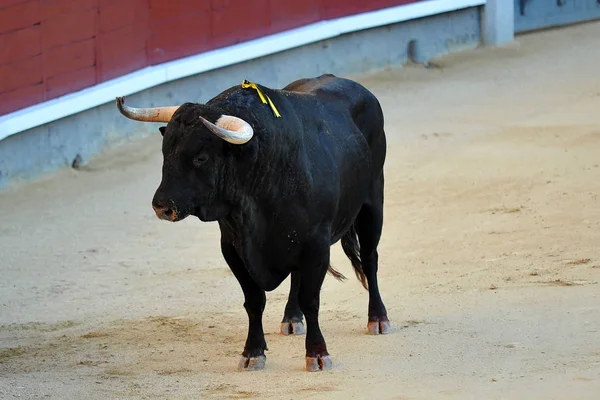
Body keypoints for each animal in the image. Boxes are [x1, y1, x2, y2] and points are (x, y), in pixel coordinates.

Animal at [115, 74, 392, 372]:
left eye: (201, 157)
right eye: (166, 152)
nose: (162, 206)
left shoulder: (316, 245)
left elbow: (311, 300)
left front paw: (317, 354)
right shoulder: (233, 247)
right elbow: (254, 300)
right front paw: (253, 352)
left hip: (373, 203)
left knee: (370, 258)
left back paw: (378, 318)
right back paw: (291, 318)